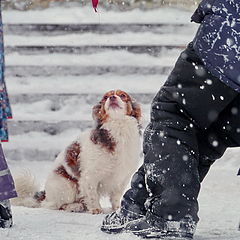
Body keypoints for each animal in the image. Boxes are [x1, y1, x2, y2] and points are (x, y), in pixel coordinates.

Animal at [11, 90, 142, 214]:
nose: (112, 97)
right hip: (67, 185)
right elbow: (92, 195)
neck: (118, 128)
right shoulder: (90, 175)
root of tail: (45, 194)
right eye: (105, 97)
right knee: (53, 205)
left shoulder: (122, 177)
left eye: (123, 95)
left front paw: (117, 209)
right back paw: (74, 206)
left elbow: (116, 196)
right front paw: (96, 209)